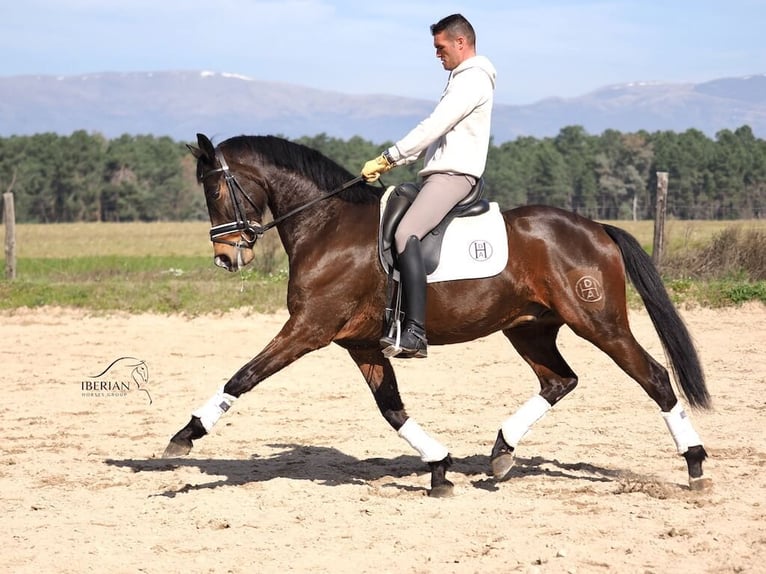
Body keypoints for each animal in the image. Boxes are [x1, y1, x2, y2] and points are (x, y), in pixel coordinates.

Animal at [163, 132, 712, 498]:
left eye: (215, 190)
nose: (227, 258)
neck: (327, 225)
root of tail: (595, 228)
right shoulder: (361, 343)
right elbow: (392, 409)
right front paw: (440, 468)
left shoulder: (308, 329)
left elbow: (243, 377)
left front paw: (184, 437)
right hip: (529, 329)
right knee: (560, 381)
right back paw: (501, 453)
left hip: (598, 323)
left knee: (655, 378)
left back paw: (695, 465)